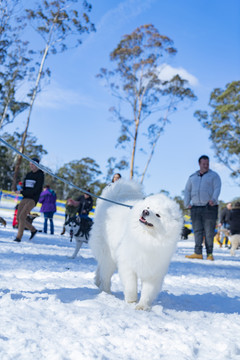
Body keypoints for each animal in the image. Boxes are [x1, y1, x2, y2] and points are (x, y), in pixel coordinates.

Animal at [89, 180, 183, 310]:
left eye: (158, 215)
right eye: (148, 207)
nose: (145, 211)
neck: (147, 239)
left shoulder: (153, 271)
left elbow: (147, 292)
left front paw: (142, 306)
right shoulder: (127, 264)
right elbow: (131, 285)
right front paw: (131, 301)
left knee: (101, 268)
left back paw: (98, 283)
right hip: (109, 256)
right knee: (105, 274)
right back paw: (107, 292)